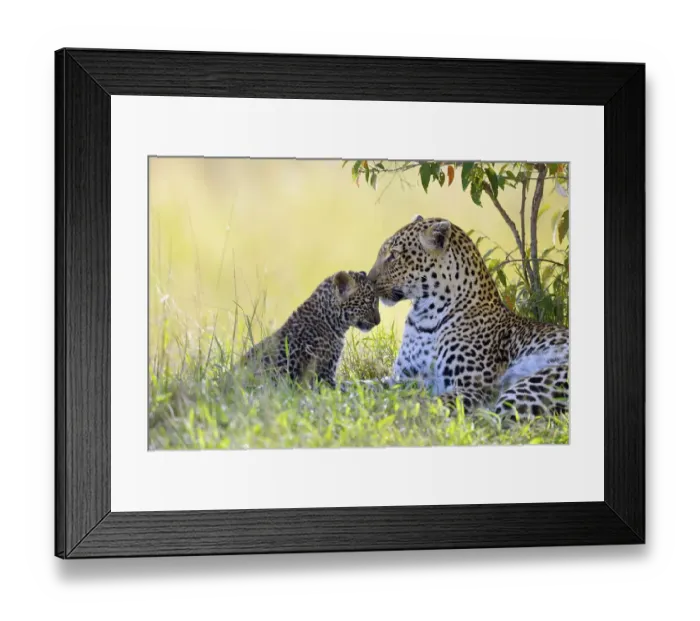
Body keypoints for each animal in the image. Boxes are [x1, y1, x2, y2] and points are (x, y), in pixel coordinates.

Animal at [365, 215, 569, 420]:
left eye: (394, 255)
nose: (369, 280)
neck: (424, 317)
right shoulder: (403, 377)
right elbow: (368, 384)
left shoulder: (471, 387)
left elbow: (426, 404)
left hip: (528, 387)